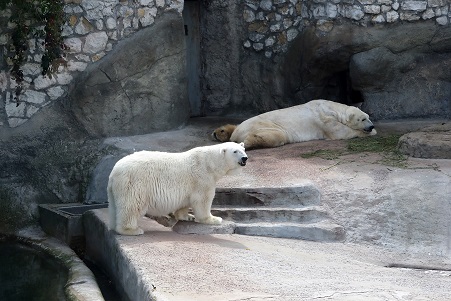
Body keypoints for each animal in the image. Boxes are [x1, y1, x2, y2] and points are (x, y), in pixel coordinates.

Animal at [108, 142, 249, 236]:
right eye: (235, 151)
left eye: (243, 149)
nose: (245, 158)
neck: (210, 163)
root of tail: (114, 172)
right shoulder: (202, 177)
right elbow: (203, 200)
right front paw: (214, 219)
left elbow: (184, 203)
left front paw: (188, 216)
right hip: (135, 183)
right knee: (132, 206)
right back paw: (133, 230)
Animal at [214, 99, 376, 149]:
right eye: (363, 119)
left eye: (368, 117)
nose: (371, 126)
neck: (331, 107)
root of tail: (237, 133)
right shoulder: (324, 119)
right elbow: (340, 132)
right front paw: (371, 132)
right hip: (263, 124)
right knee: (278, 135)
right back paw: (248, 142)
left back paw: (220, 132)